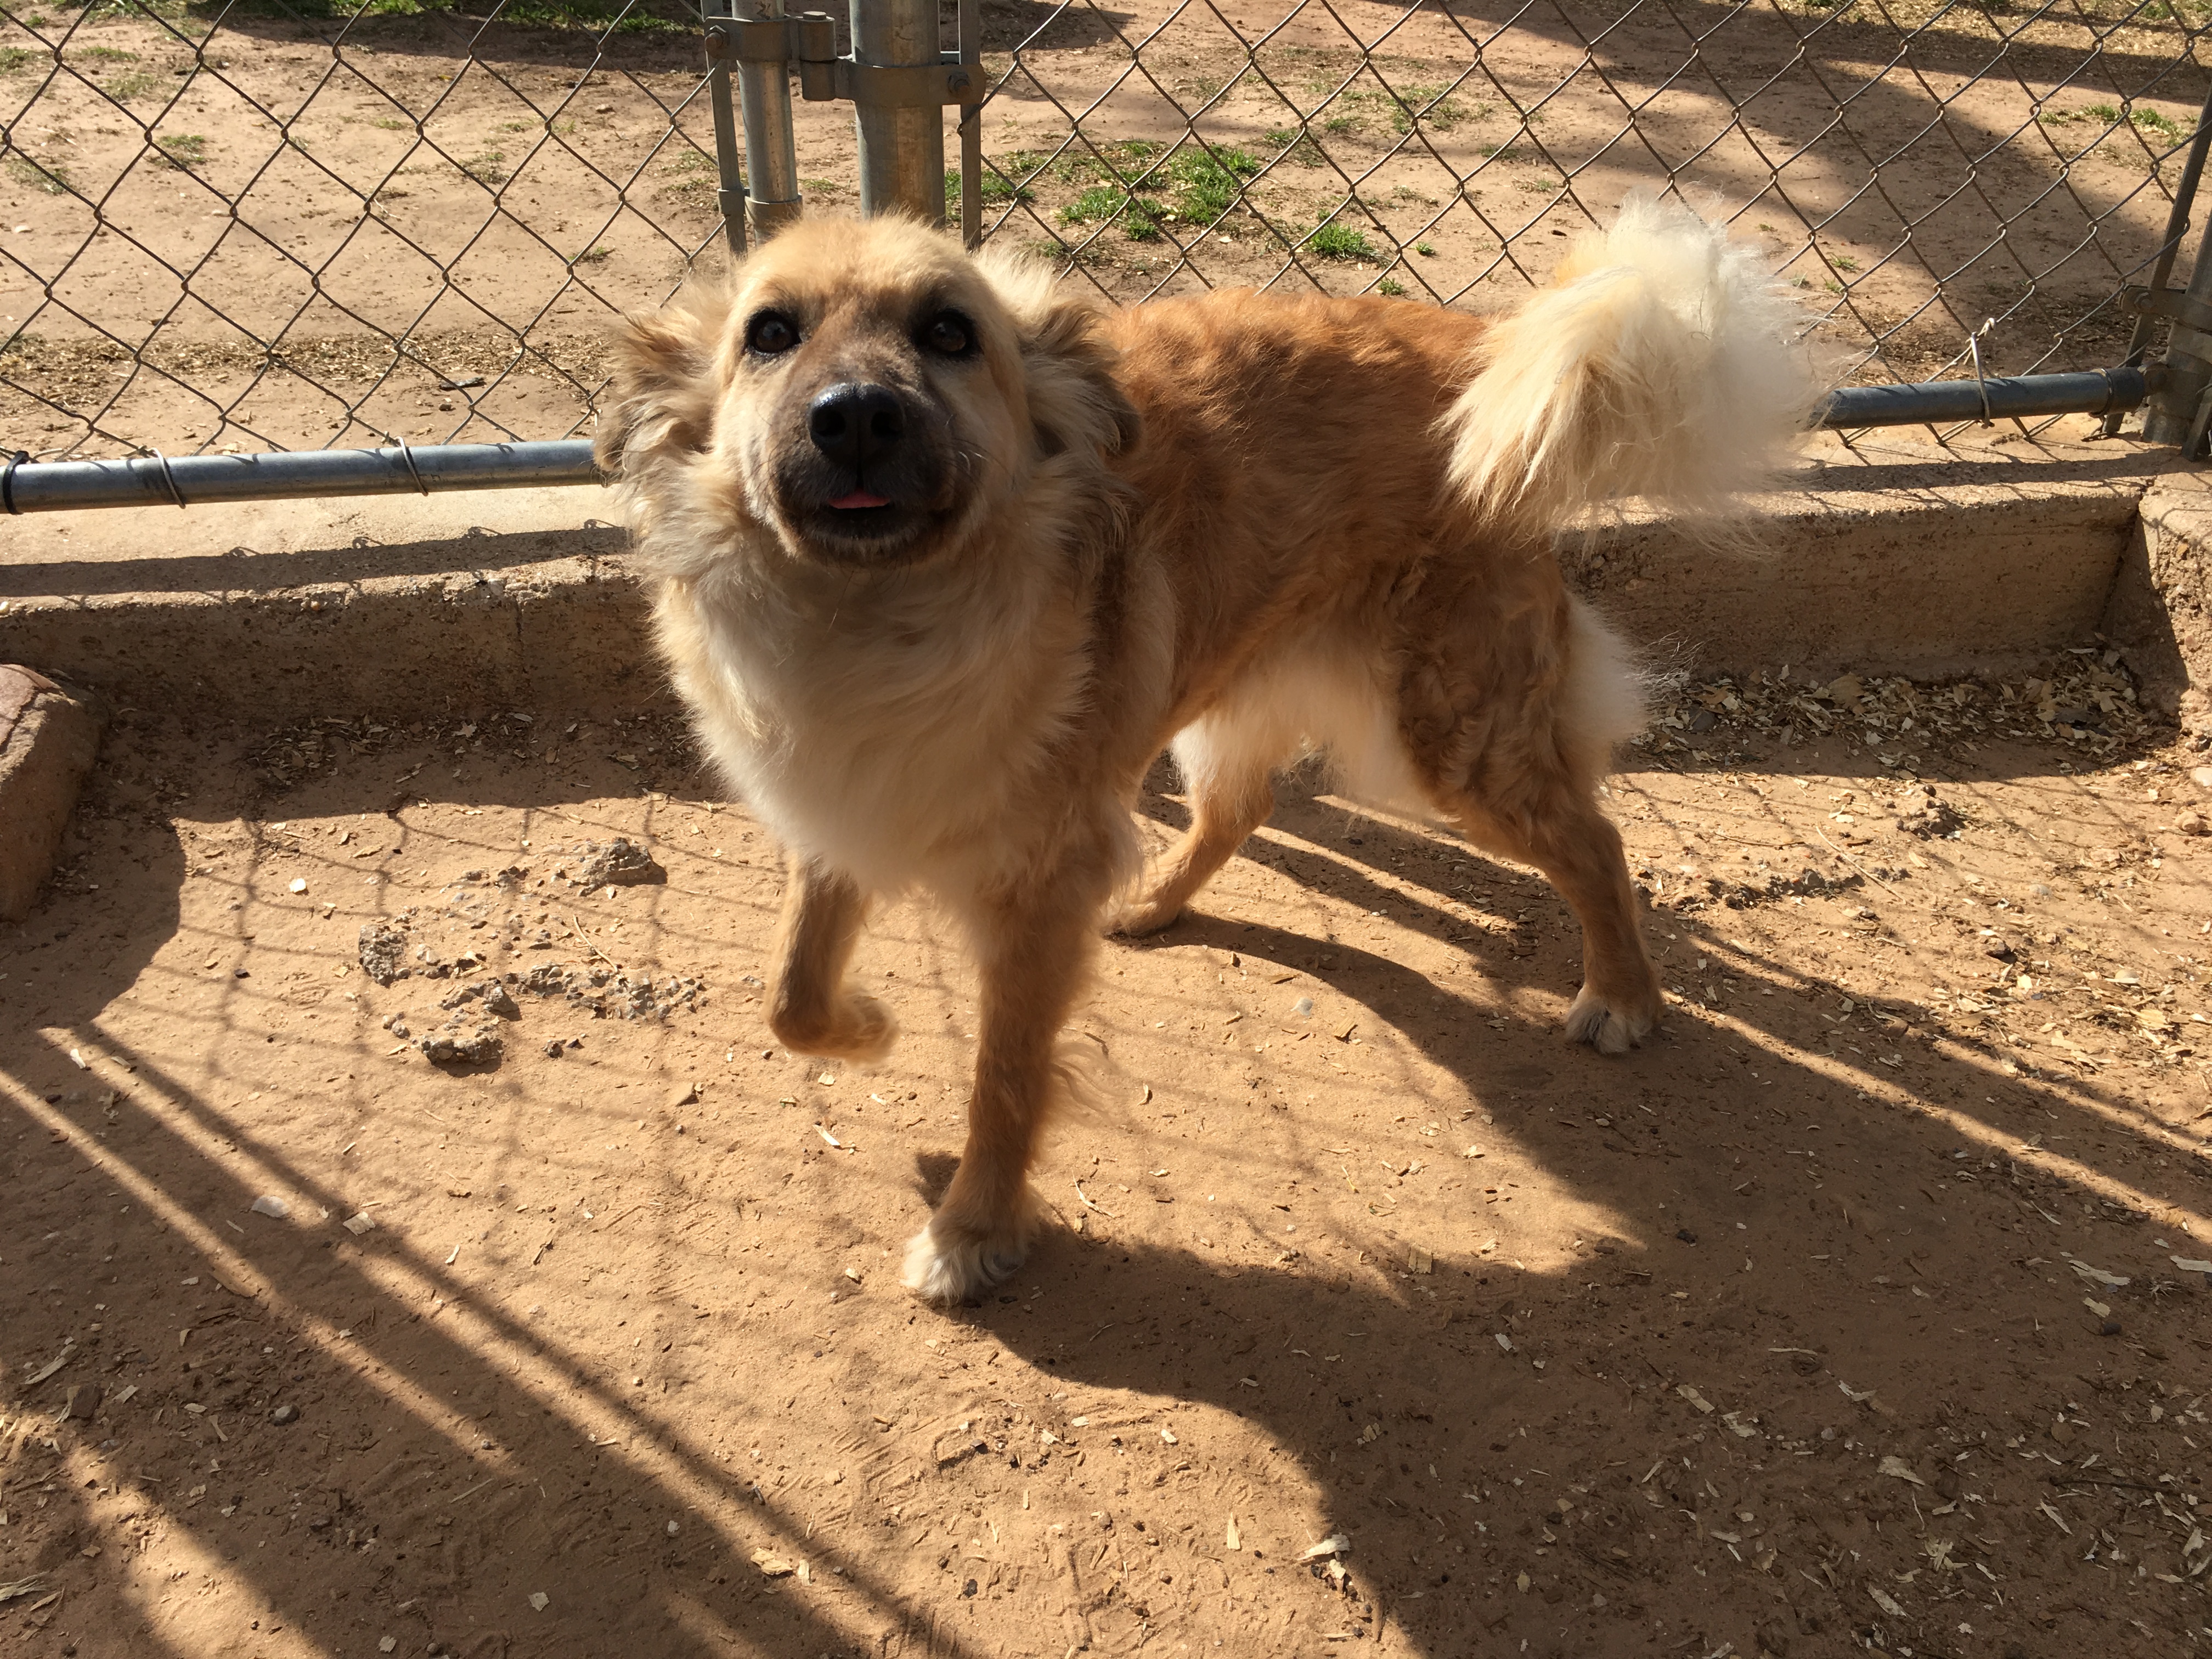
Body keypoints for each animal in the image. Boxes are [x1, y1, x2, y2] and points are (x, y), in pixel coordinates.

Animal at [592, 194, 1814, 1309]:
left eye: (949, 331)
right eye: (769, 333)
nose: (853, 417)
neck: (878, 616)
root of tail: (1475, 353)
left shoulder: (1036, 889)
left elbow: (1005, 1078)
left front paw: (975, 1232)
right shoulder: (842, 810)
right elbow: (790, 993)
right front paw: (867, 1028)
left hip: (1456, 738)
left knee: (1594, 839)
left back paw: (1623, 995)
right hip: (1224, 693)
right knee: (1241, 808)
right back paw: (1152, 901)